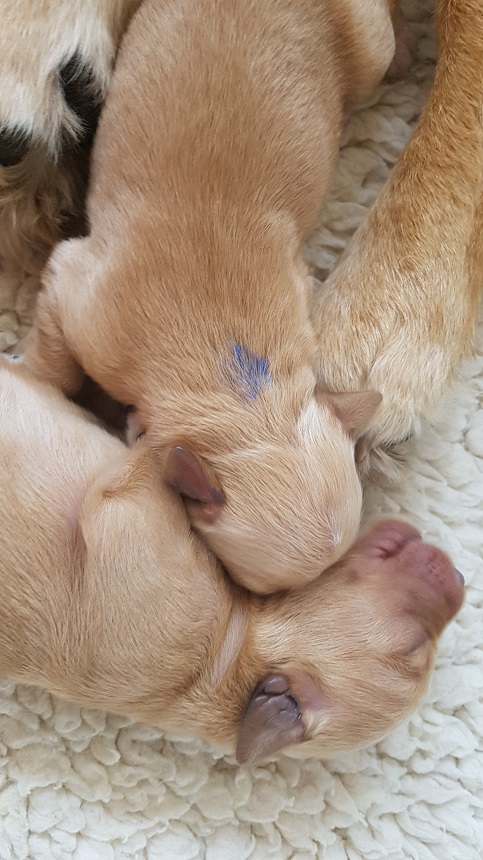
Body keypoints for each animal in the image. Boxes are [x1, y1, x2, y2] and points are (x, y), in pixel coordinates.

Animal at [0, 357, 463, 765]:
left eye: (414, 649)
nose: (460, 576)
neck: (229, 652)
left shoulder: (119, 522)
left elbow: (139, 469)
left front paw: (157, 445)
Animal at [21, 0, 413, 595]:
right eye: (258, 592)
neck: (244, 398)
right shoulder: (74, 288)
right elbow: (57, 368)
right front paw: (40, 384)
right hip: (370, 44)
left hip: (367, 44)